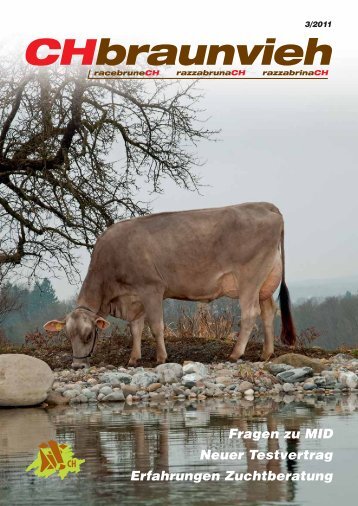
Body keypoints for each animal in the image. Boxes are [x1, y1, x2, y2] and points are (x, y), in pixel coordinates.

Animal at [44, 202, 296, 368]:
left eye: (88, 335)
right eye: (68, 336)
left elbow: (156, 326)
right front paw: (133, 358)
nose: (77, 366)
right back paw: (266, 353)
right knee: (268, 312)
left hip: (249, 279)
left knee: (250, 313)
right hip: (265, 282)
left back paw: (235, 354)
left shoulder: (151, 288)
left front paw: (161, 357)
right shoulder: (134, 297)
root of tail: (263, 205)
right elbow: (135, 328)